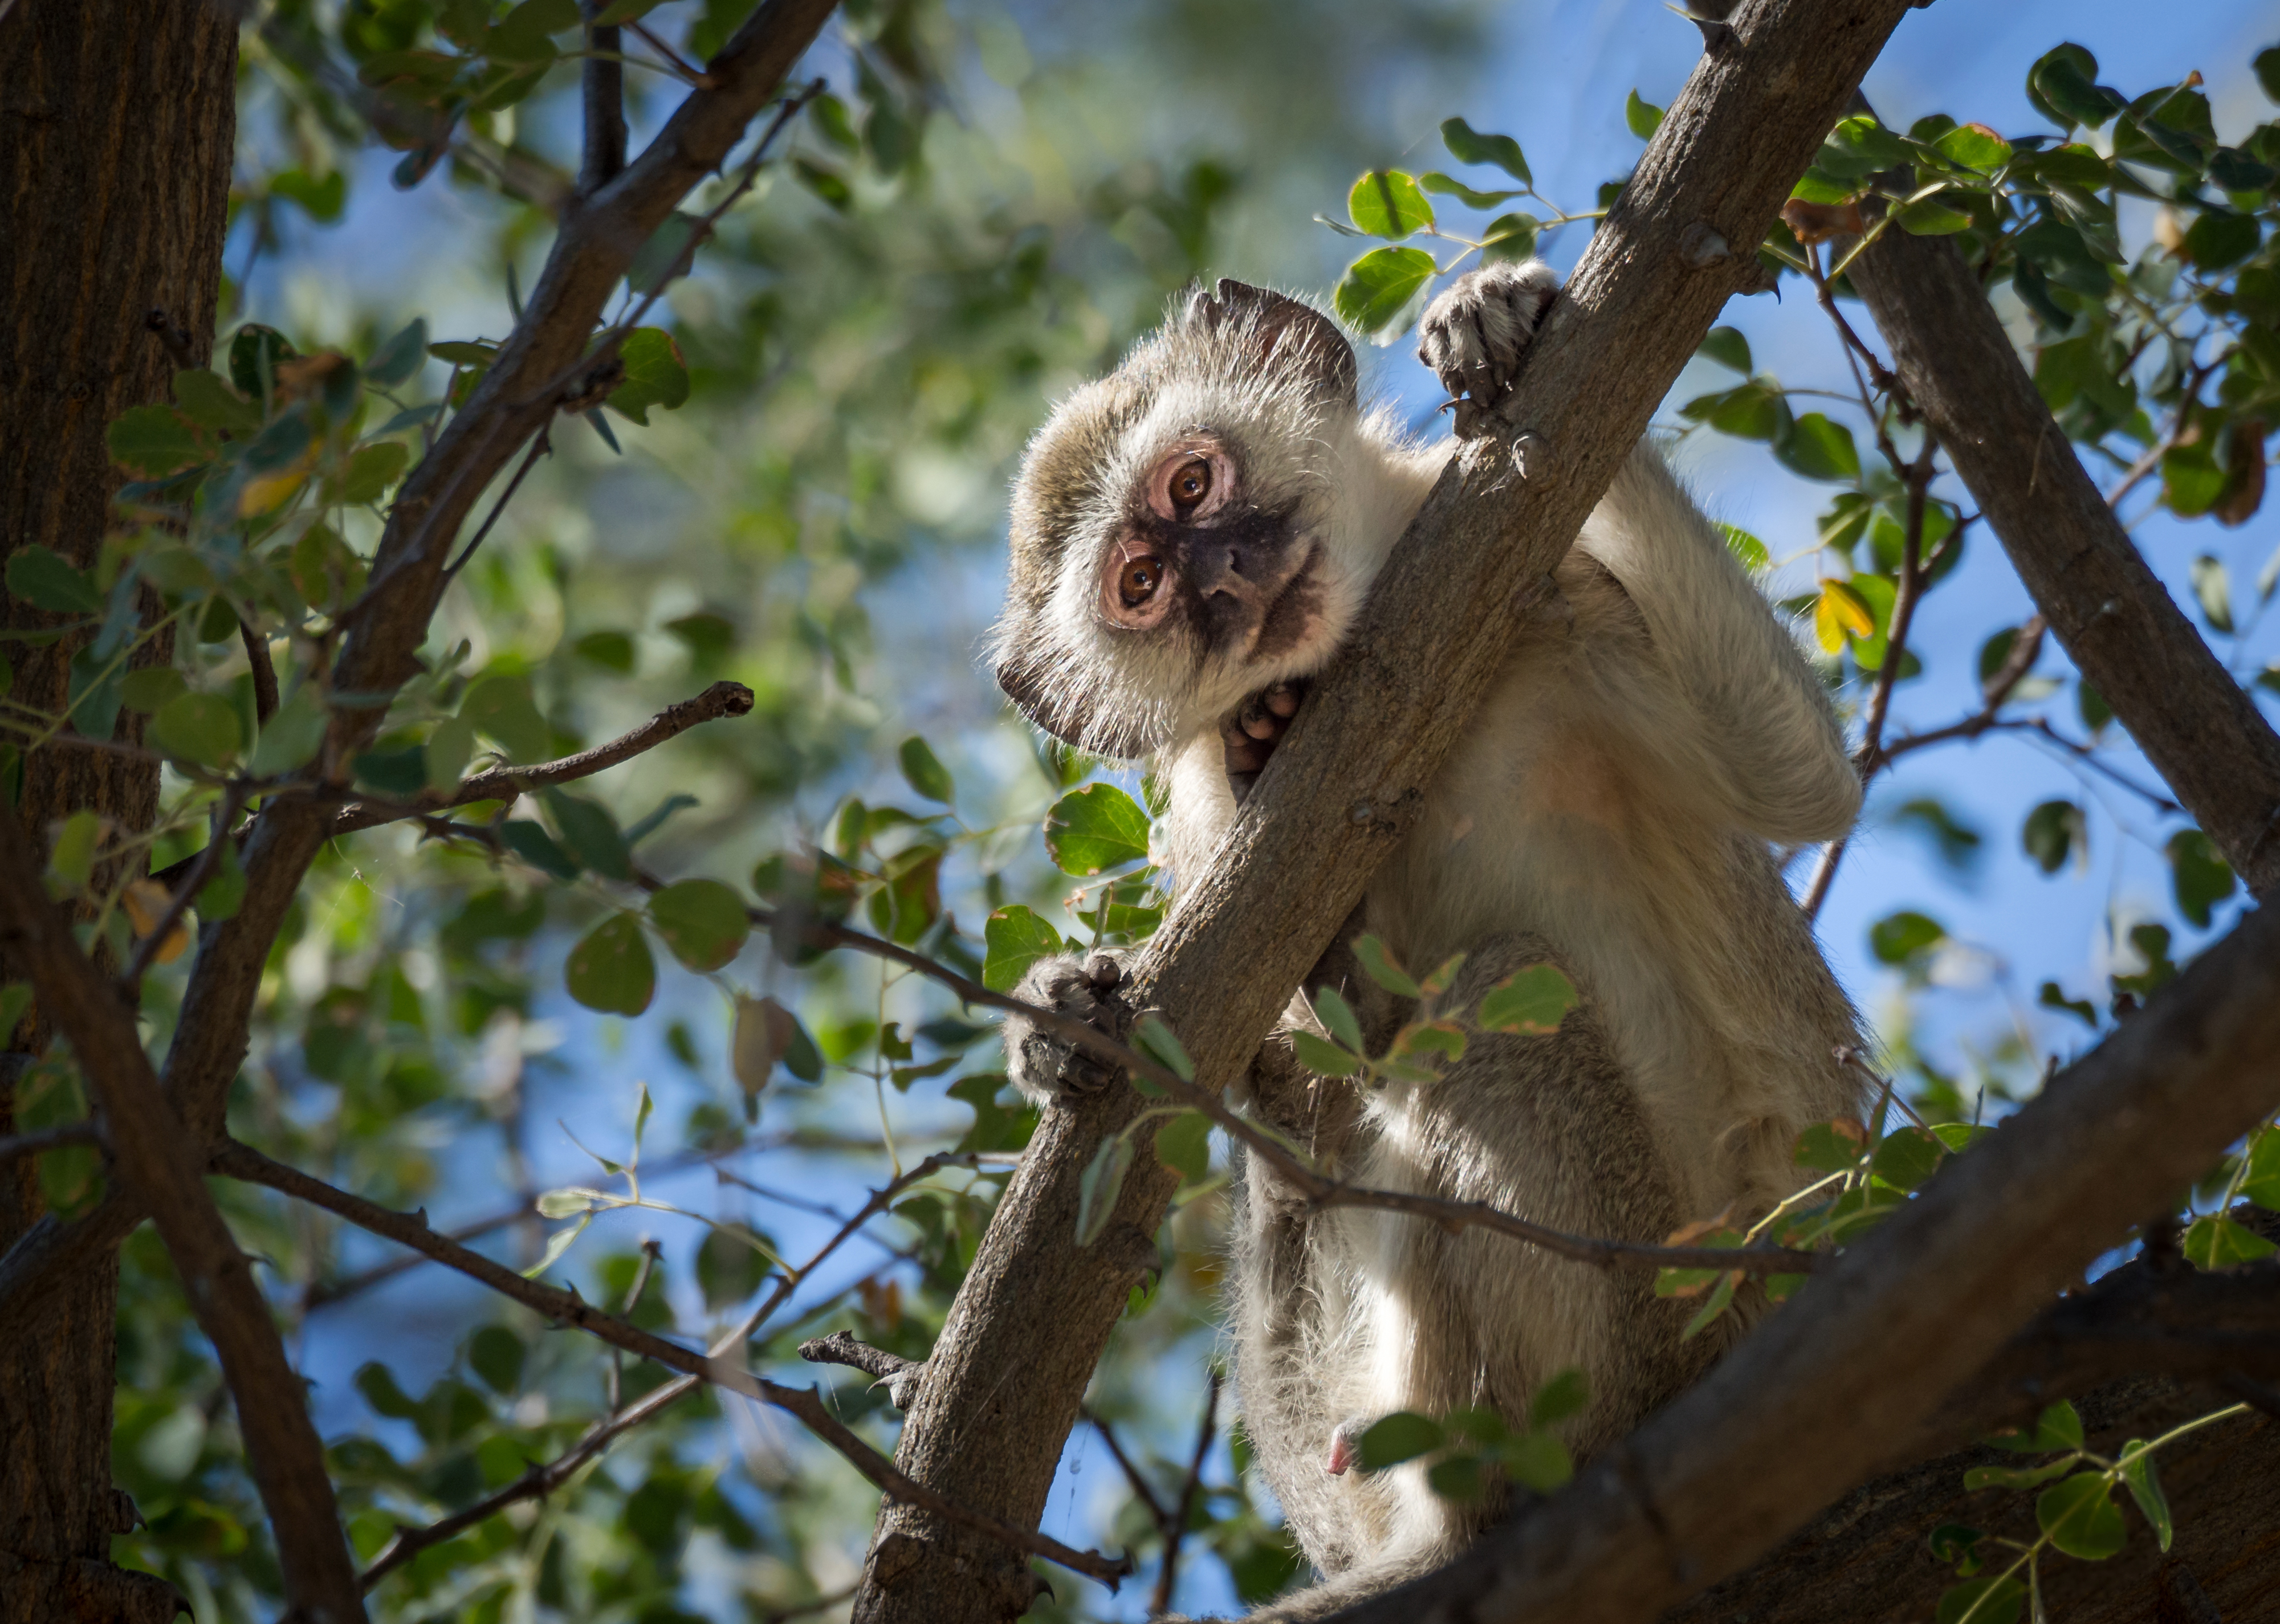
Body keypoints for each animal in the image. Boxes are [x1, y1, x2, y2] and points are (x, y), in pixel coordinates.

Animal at [990, 260, 1860, 1614]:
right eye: (1140, 588)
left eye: (1192, 487)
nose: (1223, 580)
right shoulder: (1209, 816)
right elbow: (1304, 1074)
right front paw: (1070, 1012)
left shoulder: (1569, 608)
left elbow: (1801, 782)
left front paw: (1504, 320)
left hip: (1663, 1313)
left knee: (1510, 998)